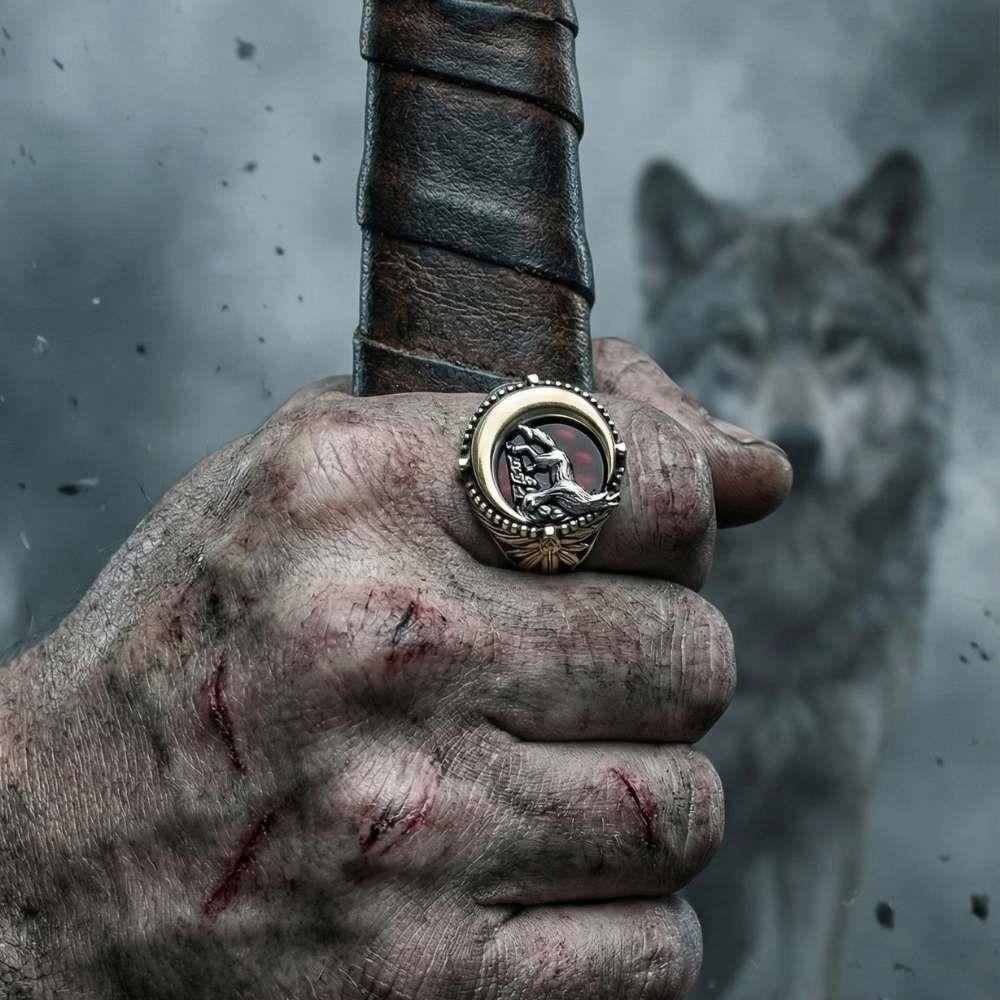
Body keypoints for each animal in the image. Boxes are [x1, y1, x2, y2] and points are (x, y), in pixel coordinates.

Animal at [636, 152, 951, 999]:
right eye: (736, 343)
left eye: (841, 339)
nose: (800, 443)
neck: (784, 603)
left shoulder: (827, 808)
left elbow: (809, 974)